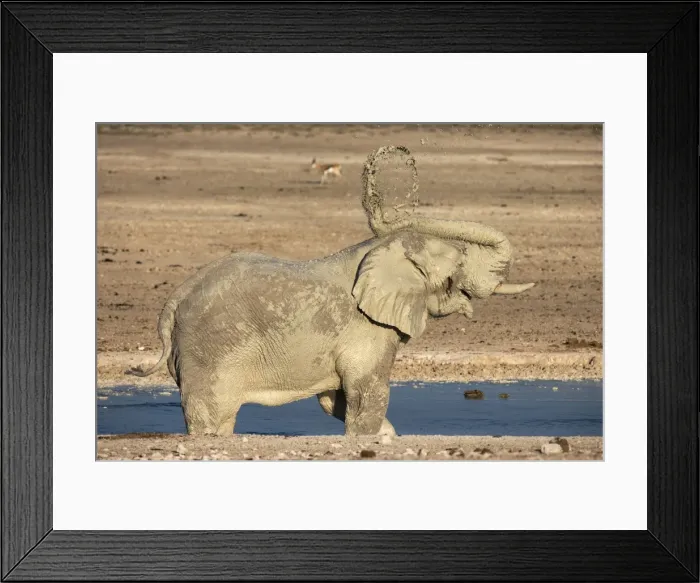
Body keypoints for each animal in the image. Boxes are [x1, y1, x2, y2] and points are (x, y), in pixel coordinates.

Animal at [129, 145, 535, 436]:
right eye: (457, 267)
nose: (393, 155)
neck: (380, 250)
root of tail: (174, 300)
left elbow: (335, 400)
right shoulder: (368, 329)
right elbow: (368, 393)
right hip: (210, 353)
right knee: (213, 419)